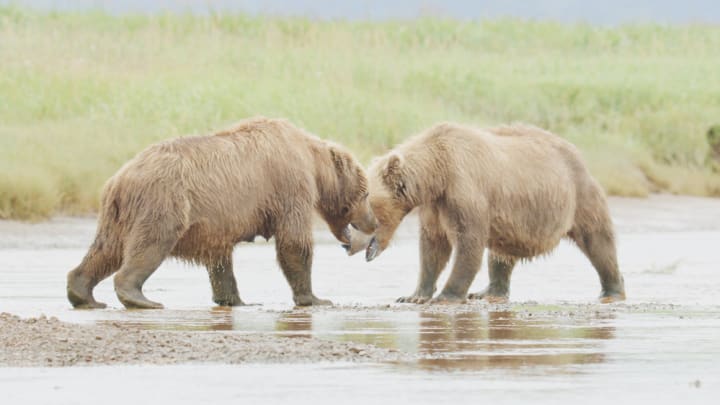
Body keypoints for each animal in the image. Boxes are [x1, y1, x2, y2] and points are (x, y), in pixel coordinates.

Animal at [68, 117, 380, 310]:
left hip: (117, 214)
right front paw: (315, 298)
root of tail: (120, 179)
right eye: (366, 193)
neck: (313, 162)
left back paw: (83, 294)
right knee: (150, 244)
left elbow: (220, 260)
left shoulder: (217, 223)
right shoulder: (289, 186)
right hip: (163, 202)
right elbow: (294, 242)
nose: (375, 221)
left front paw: (235, 299)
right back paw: (141, 298)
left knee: (105, 250)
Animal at [348, 122, 624, 304]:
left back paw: (612, 289)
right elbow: (433, 247)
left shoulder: (464, 191)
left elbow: (467, 242)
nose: (347, 245)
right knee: (501, 256)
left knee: (598, 242)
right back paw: (488, 291)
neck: (437, 173)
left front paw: (446, 295)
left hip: (578, 196)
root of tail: (576, 152)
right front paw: (414, 295)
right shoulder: (435, 206)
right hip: (514, 219)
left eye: (362, 209)